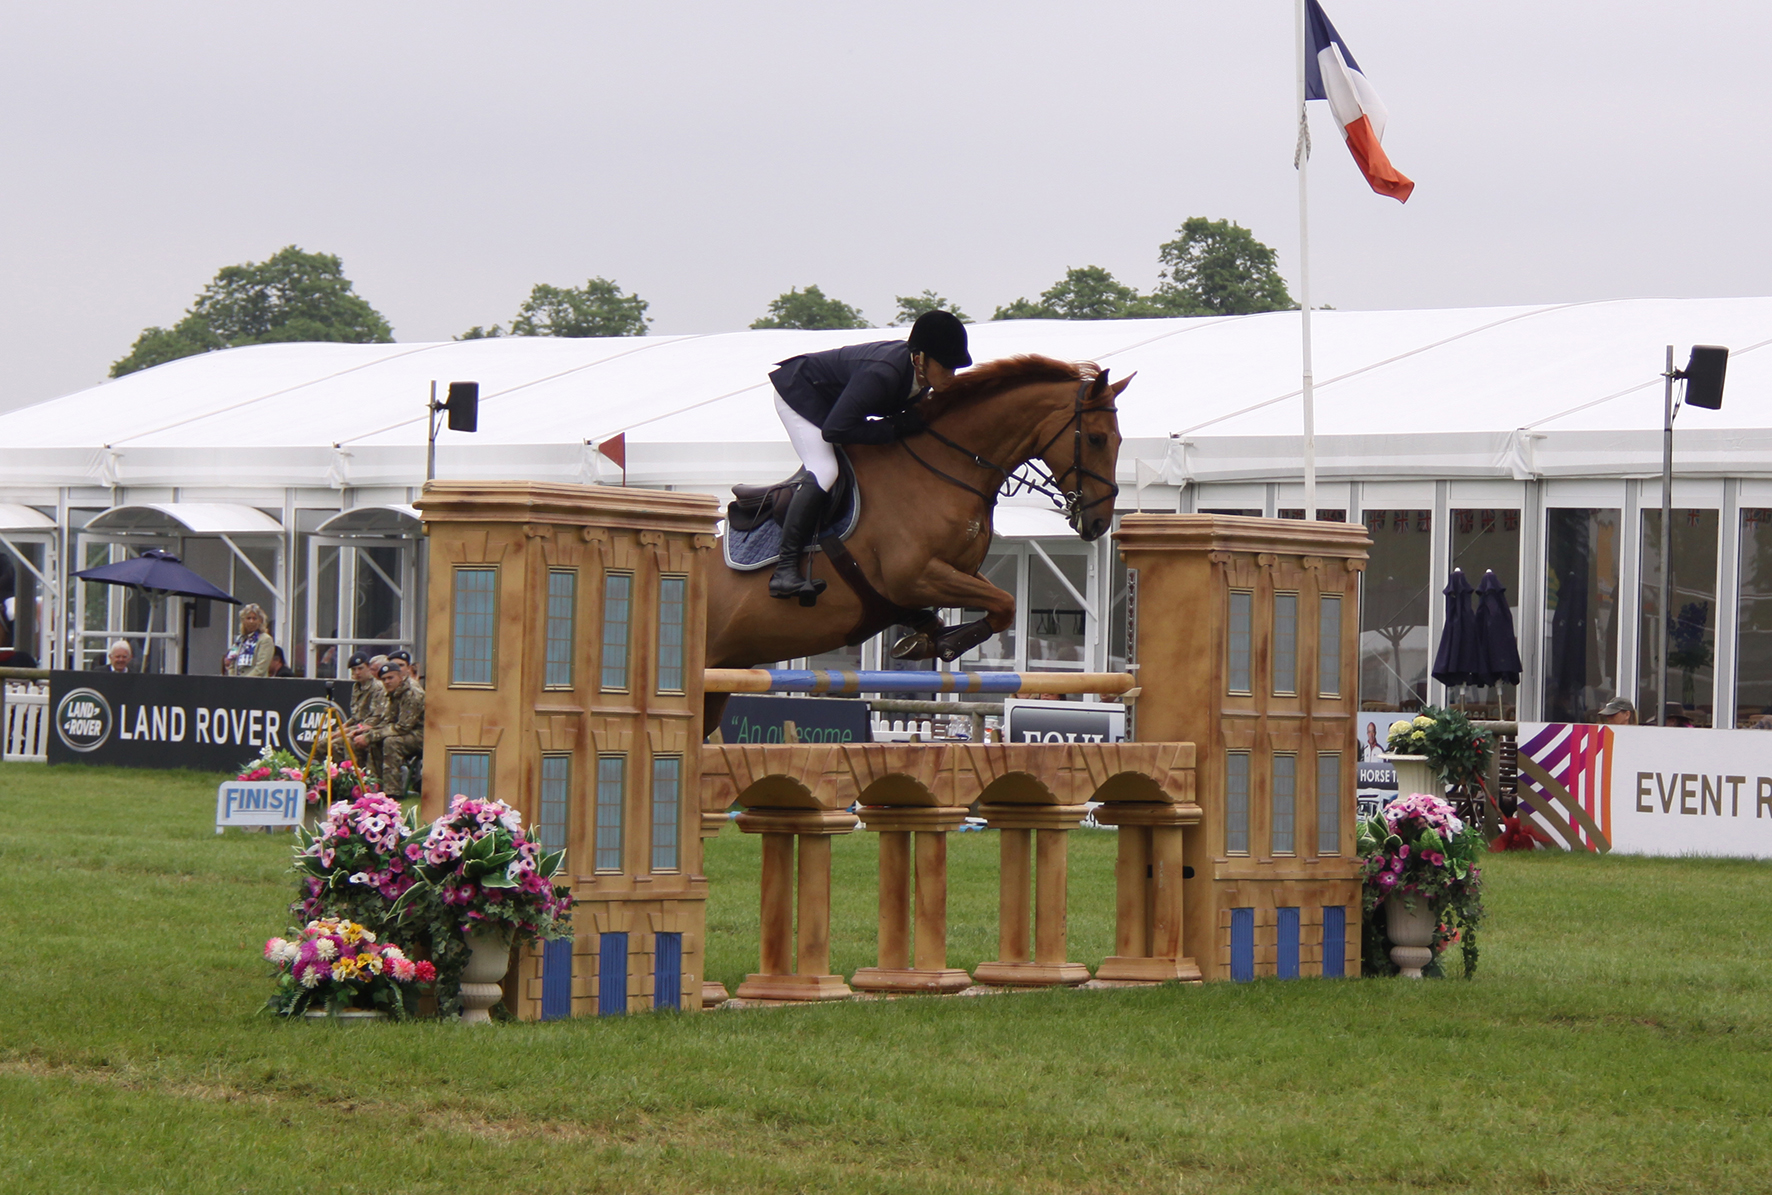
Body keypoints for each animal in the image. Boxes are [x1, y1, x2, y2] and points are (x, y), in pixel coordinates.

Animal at [701, 354, 1126, 719]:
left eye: (1119, 441)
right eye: (1096, 439)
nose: (1099, 522)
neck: (942, 469)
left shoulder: (955, 572)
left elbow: (999, 606)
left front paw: (928, 639)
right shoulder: (914, 576)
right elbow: (1004, 604)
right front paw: (946, 642)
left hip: (721, 677)